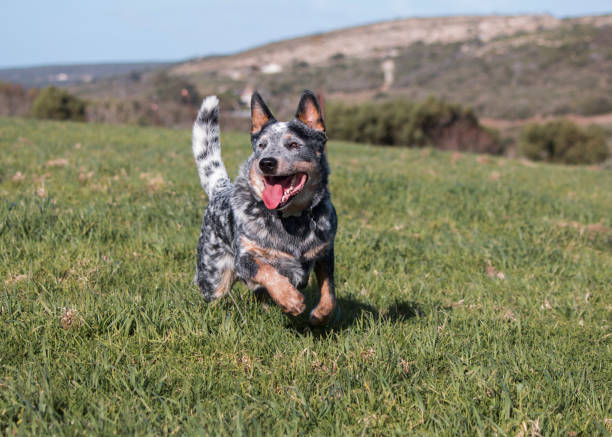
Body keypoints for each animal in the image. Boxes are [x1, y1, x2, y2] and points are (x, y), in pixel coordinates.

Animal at [191, 90, 338, 326]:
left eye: (294, 145)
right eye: (261, 146)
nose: (266, 162)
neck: (292, 220)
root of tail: (220, 189)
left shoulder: (325, 252)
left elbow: (329, 291)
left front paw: (319, 315)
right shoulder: (244, 257)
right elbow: (267, 270)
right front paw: (290, 299)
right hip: (214, 275)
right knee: (215, 295)